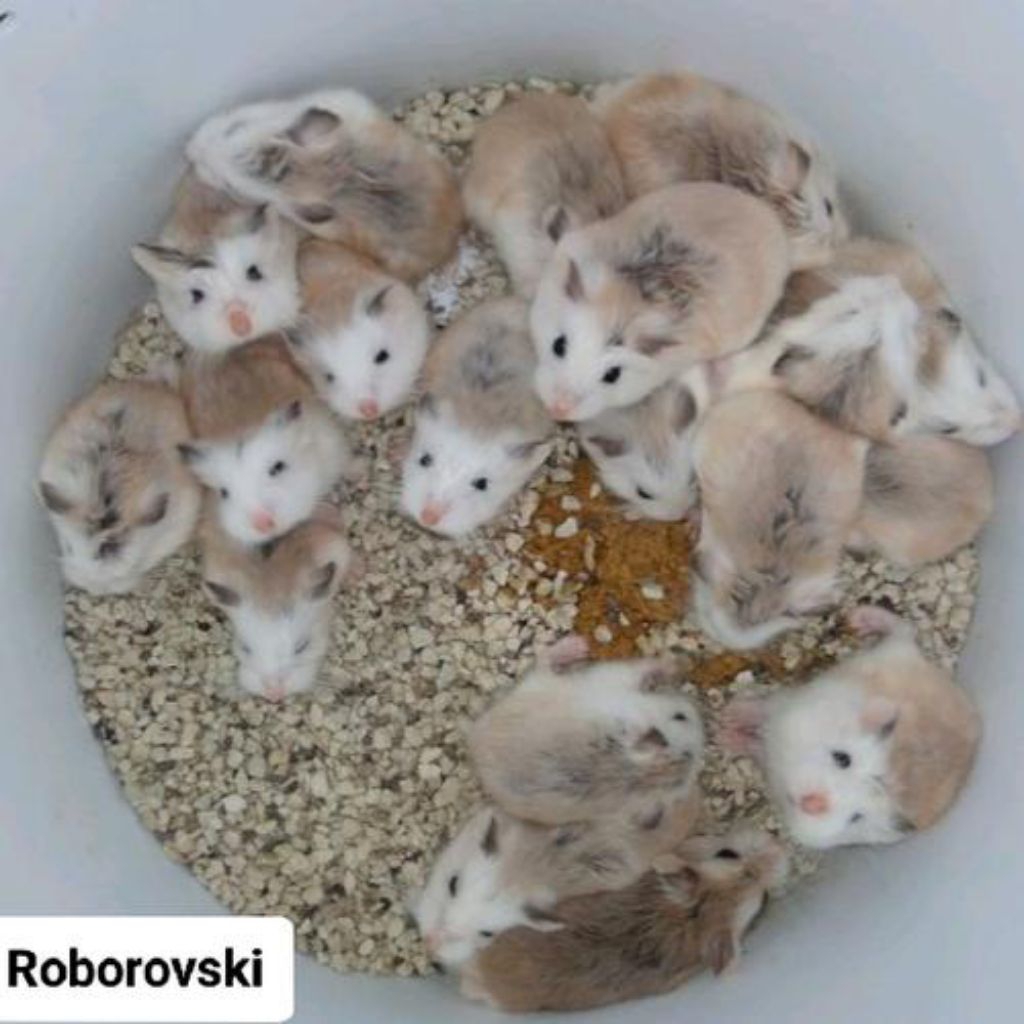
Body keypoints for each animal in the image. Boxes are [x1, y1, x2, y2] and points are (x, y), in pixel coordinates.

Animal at [468, 636, 704, 825]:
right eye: (680, 716)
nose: (697, 709)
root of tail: (476, 738)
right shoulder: (625, 680)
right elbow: (650, 668)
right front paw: (679, 662)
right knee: (544, 662)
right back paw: (578, 645)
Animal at [720, 606, 981, 848]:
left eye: (856, 818)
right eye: (843, 758)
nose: (811, 804)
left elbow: (758, 744)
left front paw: (729, 733)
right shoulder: (787, 711)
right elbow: (762, 715)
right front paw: (730, 719)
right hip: (889, 651)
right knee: (904, 628)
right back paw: (859, 618)